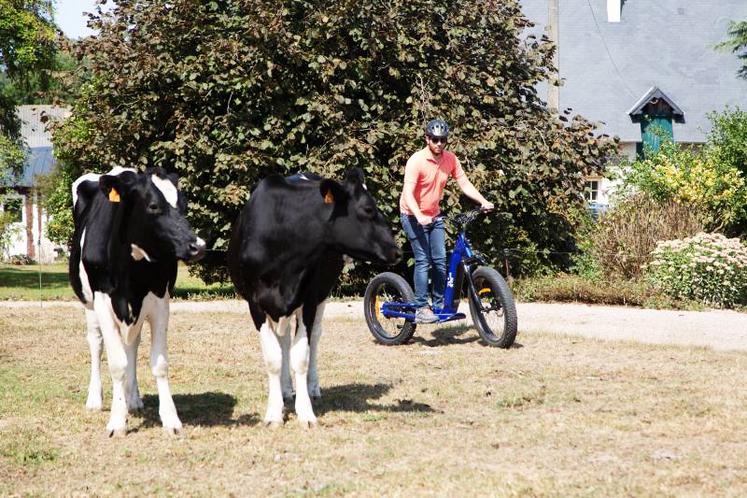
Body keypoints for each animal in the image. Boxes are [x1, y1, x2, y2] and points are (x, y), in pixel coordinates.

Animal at [70, 165, 206, 434]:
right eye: (153, 206)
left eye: (183, 204)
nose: (198, 246)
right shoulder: (102, 301)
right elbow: (116, 364)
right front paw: (117, 421)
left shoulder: (160, 300)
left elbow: (159, 363)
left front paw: (171, 419)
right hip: (89, 305)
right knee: (96, 343)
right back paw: (95, 399)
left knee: (132, 344)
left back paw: (132, 398)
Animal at [228, 169, 404, 426]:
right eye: (368, 209)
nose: (396, 251)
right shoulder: (255, 303)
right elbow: (273, 357)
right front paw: (274, 413)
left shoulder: (309, 300)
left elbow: (301, 355)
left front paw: (305, 412)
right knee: (284, 342)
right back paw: (285, 390)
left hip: (322, 293)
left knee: (314, 337)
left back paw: (311, 387)